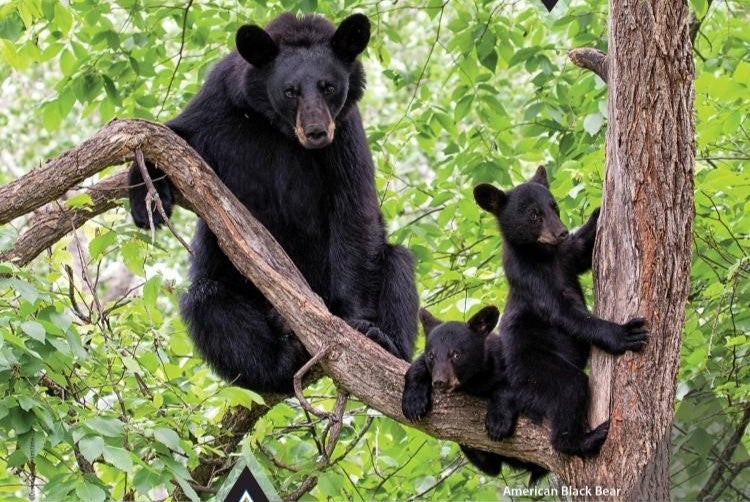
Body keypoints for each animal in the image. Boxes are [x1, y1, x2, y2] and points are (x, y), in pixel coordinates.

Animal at [127, 13, 418, 393]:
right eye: (290, 90)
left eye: (328, 86)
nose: (316, 132)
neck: (279, 129)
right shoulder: (220, 103)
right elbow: (174, 135)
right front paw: (144, 200)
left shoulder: (345, 133)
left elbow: (354, 209)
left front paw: (357, 324)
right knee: (208, 303)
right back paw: (281, 360)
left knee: (398, 265)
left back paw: (386, 341)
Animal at [402, 306, 548, 483]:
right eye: (432, 355)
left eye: (456, 354)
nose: (439, 382)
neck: (474, 381)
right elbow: (417, 366)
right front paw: (413, 403)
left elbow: (511, 388)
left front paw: (497, 423)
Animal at [473, 166, 649, 456]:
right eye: (534, 215)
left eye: (553, 206)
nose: (562, 232)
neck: (543, 256)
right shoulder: (530, 278)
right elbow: (564, 312)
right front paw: (623, 334)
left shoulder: (565, 257)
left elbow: (581, 252)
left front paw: (598, 212)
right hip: (535, 369)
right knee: (570, 388)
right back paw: (583, 439)